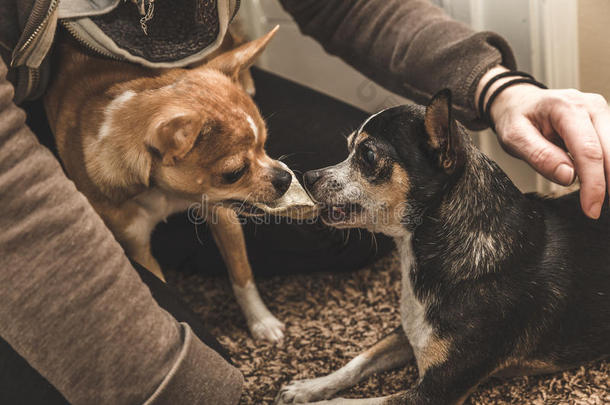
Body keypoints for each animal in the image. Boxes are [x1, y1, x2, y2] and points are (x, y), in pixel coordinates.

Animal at [276, 90, 608, 402]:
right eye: (347, 150)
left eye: (367, 155)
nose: (308, 176)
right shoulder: (407, 333)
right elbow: (358, 361)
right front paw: (309, 387)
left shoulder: (434, 391)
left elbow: (348, 402)